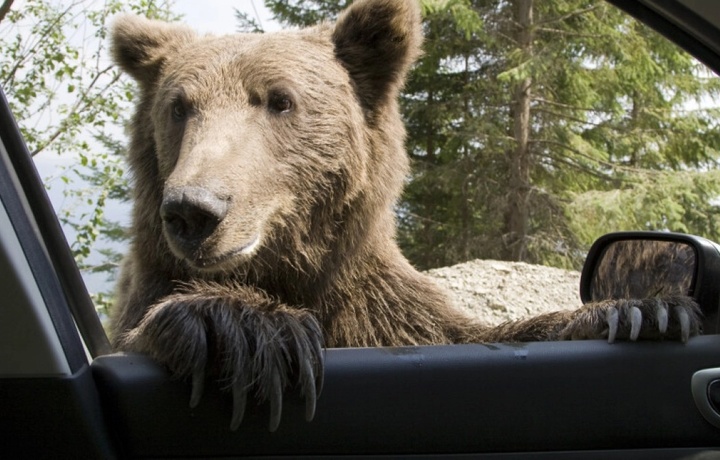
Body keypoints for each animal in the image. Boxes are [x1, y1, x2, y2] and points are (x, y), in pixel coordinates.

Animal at [109, 0, 700, 432]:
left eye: (279, 100)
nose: (194, 209)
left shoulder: (378, 309)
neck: (287, 270)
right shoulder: (151, 288)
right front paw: (245, 327)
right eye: (179, 106)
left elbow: (465, 333)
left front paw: (639, 310)